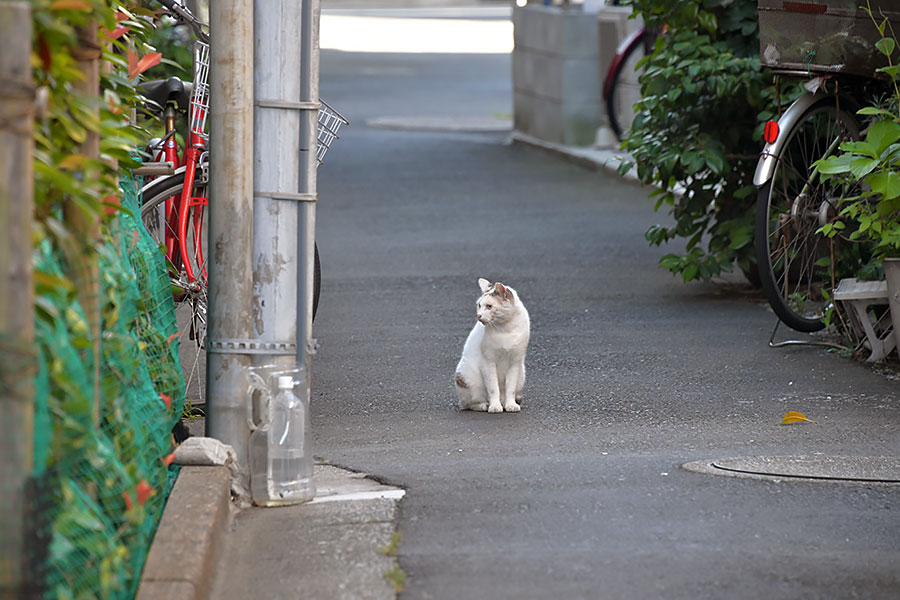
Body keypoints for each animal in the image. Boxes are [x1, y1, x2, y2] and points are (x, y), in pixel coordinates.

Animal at [458, 278, 528, 412]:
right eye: (479, 305)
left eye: (489, 306)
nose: (478, 315)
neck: (506, 329)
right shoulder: (488, 362)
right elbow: (493, 388)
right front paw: (494, 406)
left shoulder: (515, 362)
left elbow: (510, 388)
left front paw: (511, 405)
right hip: (466, 377)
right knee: (468, 403)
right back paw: (484, 405)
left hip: (521, 374)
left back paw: (504, 403)